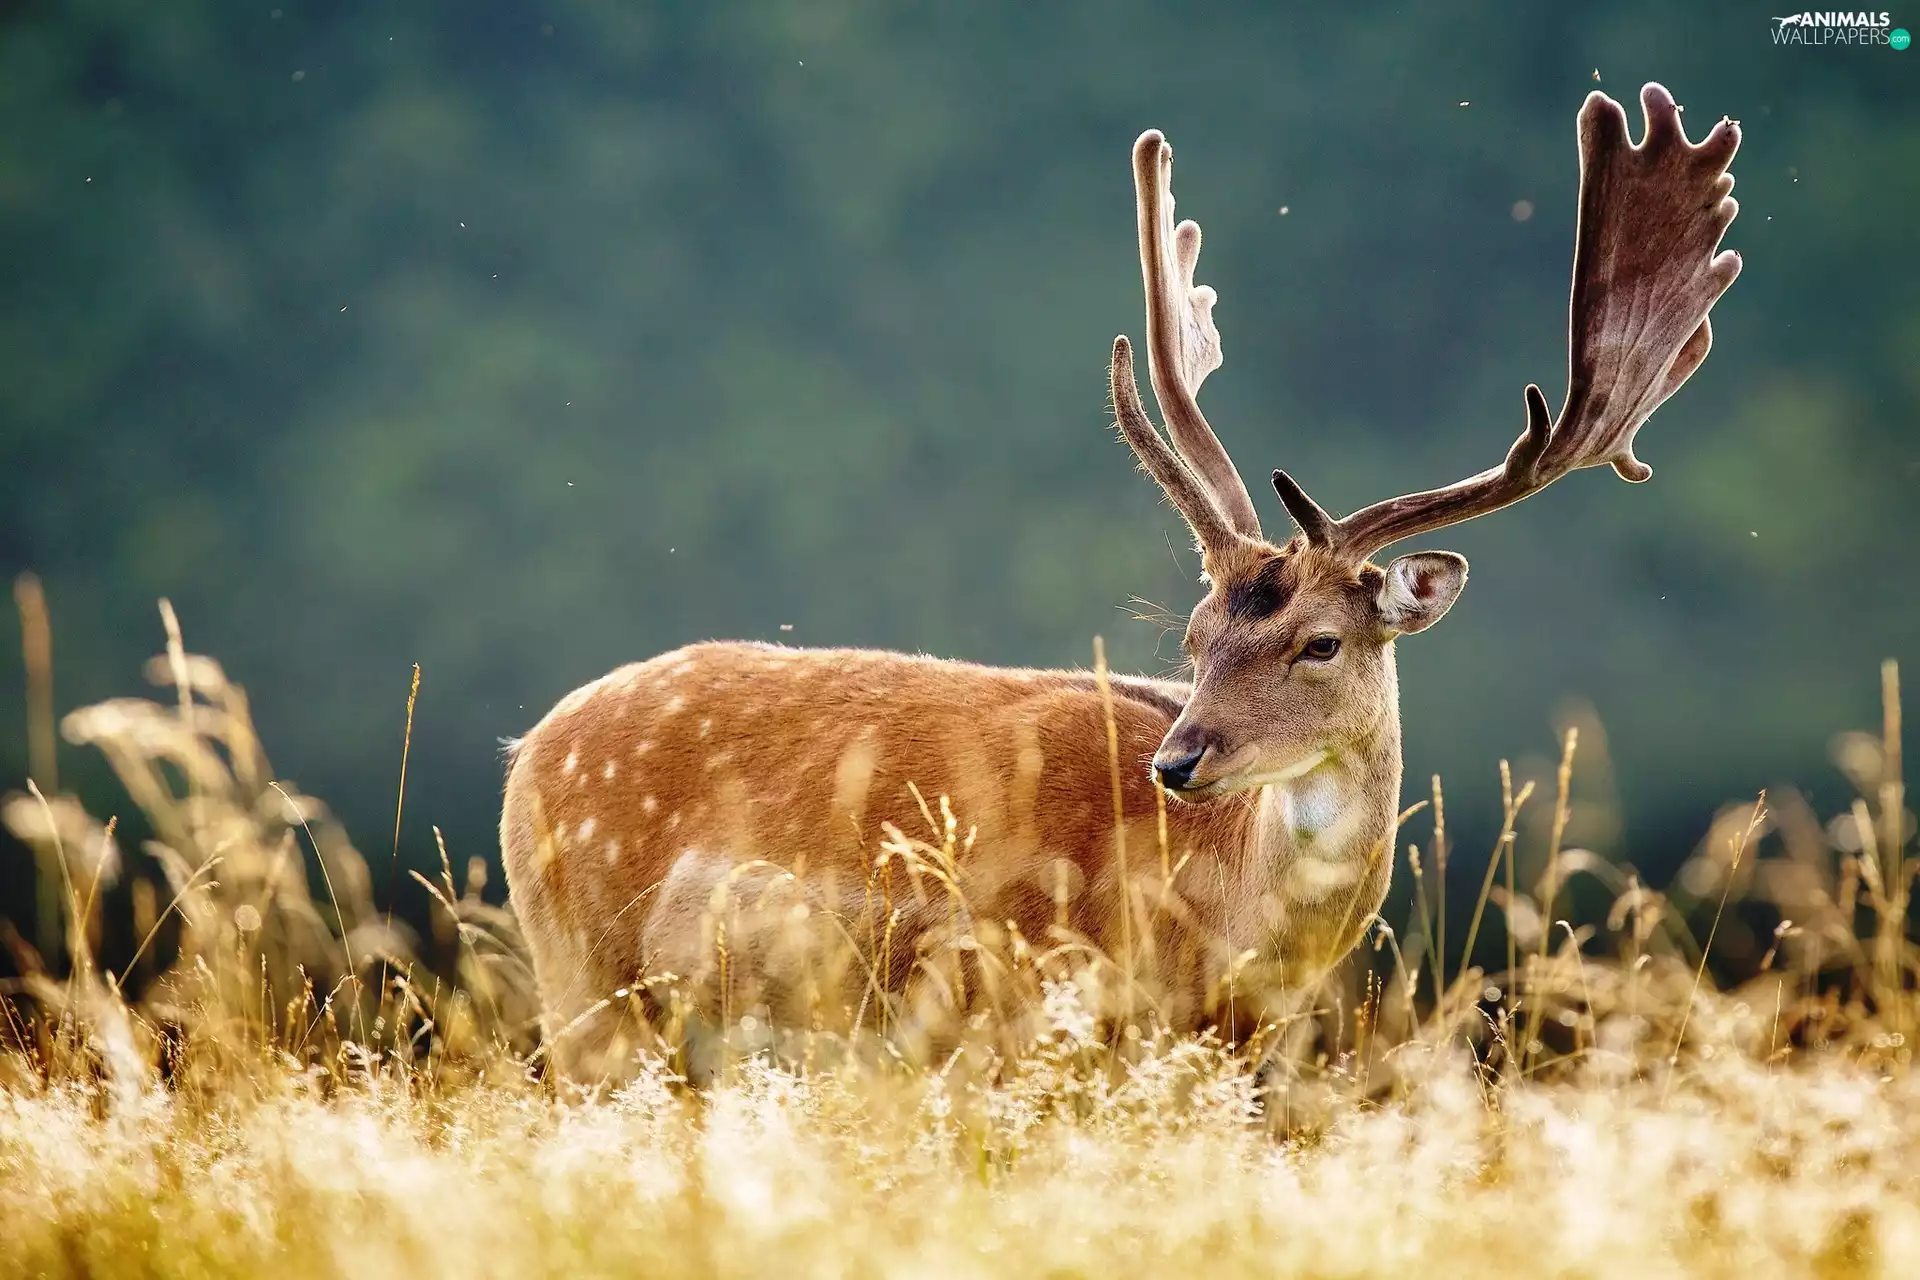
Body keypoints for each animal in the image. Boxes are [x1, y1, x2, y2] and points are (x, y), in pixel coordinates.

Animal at [501, 83, 1742, 1077]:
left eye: (1321, 640)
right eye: (1193, 637)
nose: (1179, 759)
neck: (1218, 940)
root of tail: (527, 752)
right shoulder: (1017, 1015)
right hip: (585, 985)